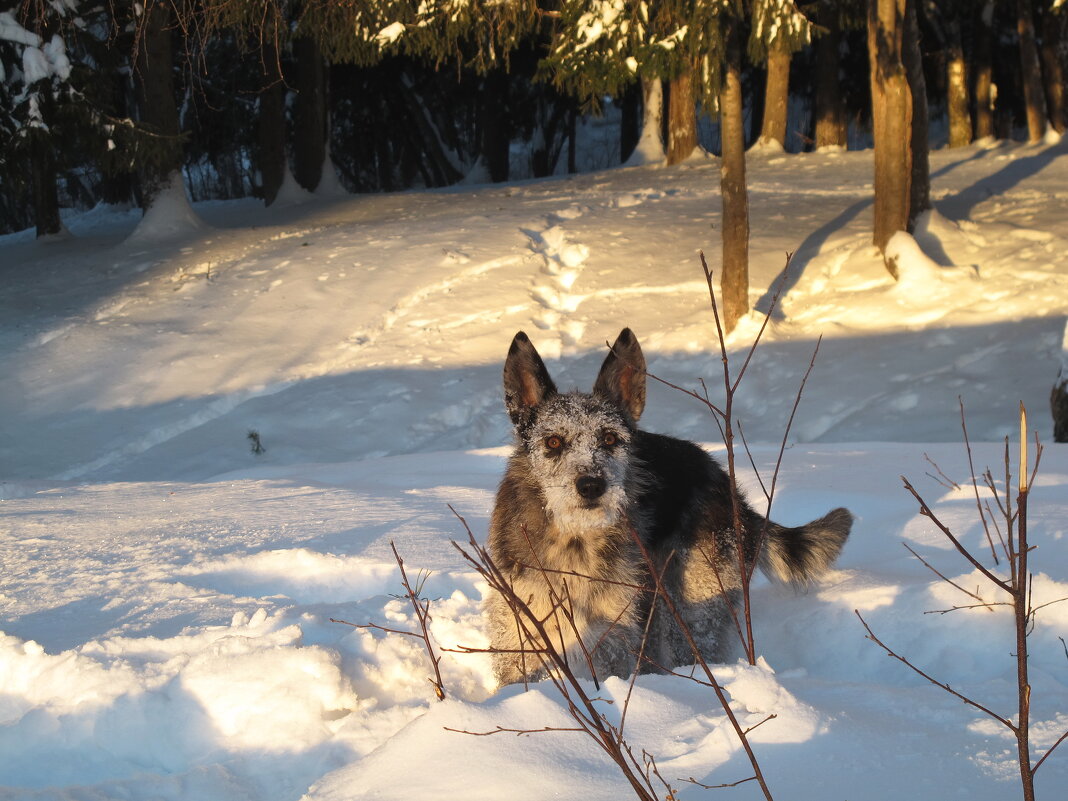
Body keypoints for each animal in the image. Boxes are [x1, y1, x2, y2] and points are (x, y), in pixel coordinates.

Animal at [487, 328, 850, 687]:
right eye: (552, 442)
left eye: (609, 439)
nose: (591, 485)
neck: (575, 537)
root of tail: (727, 485)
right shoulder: (523, 626)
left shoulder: (614, 631)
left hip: (693, 606)